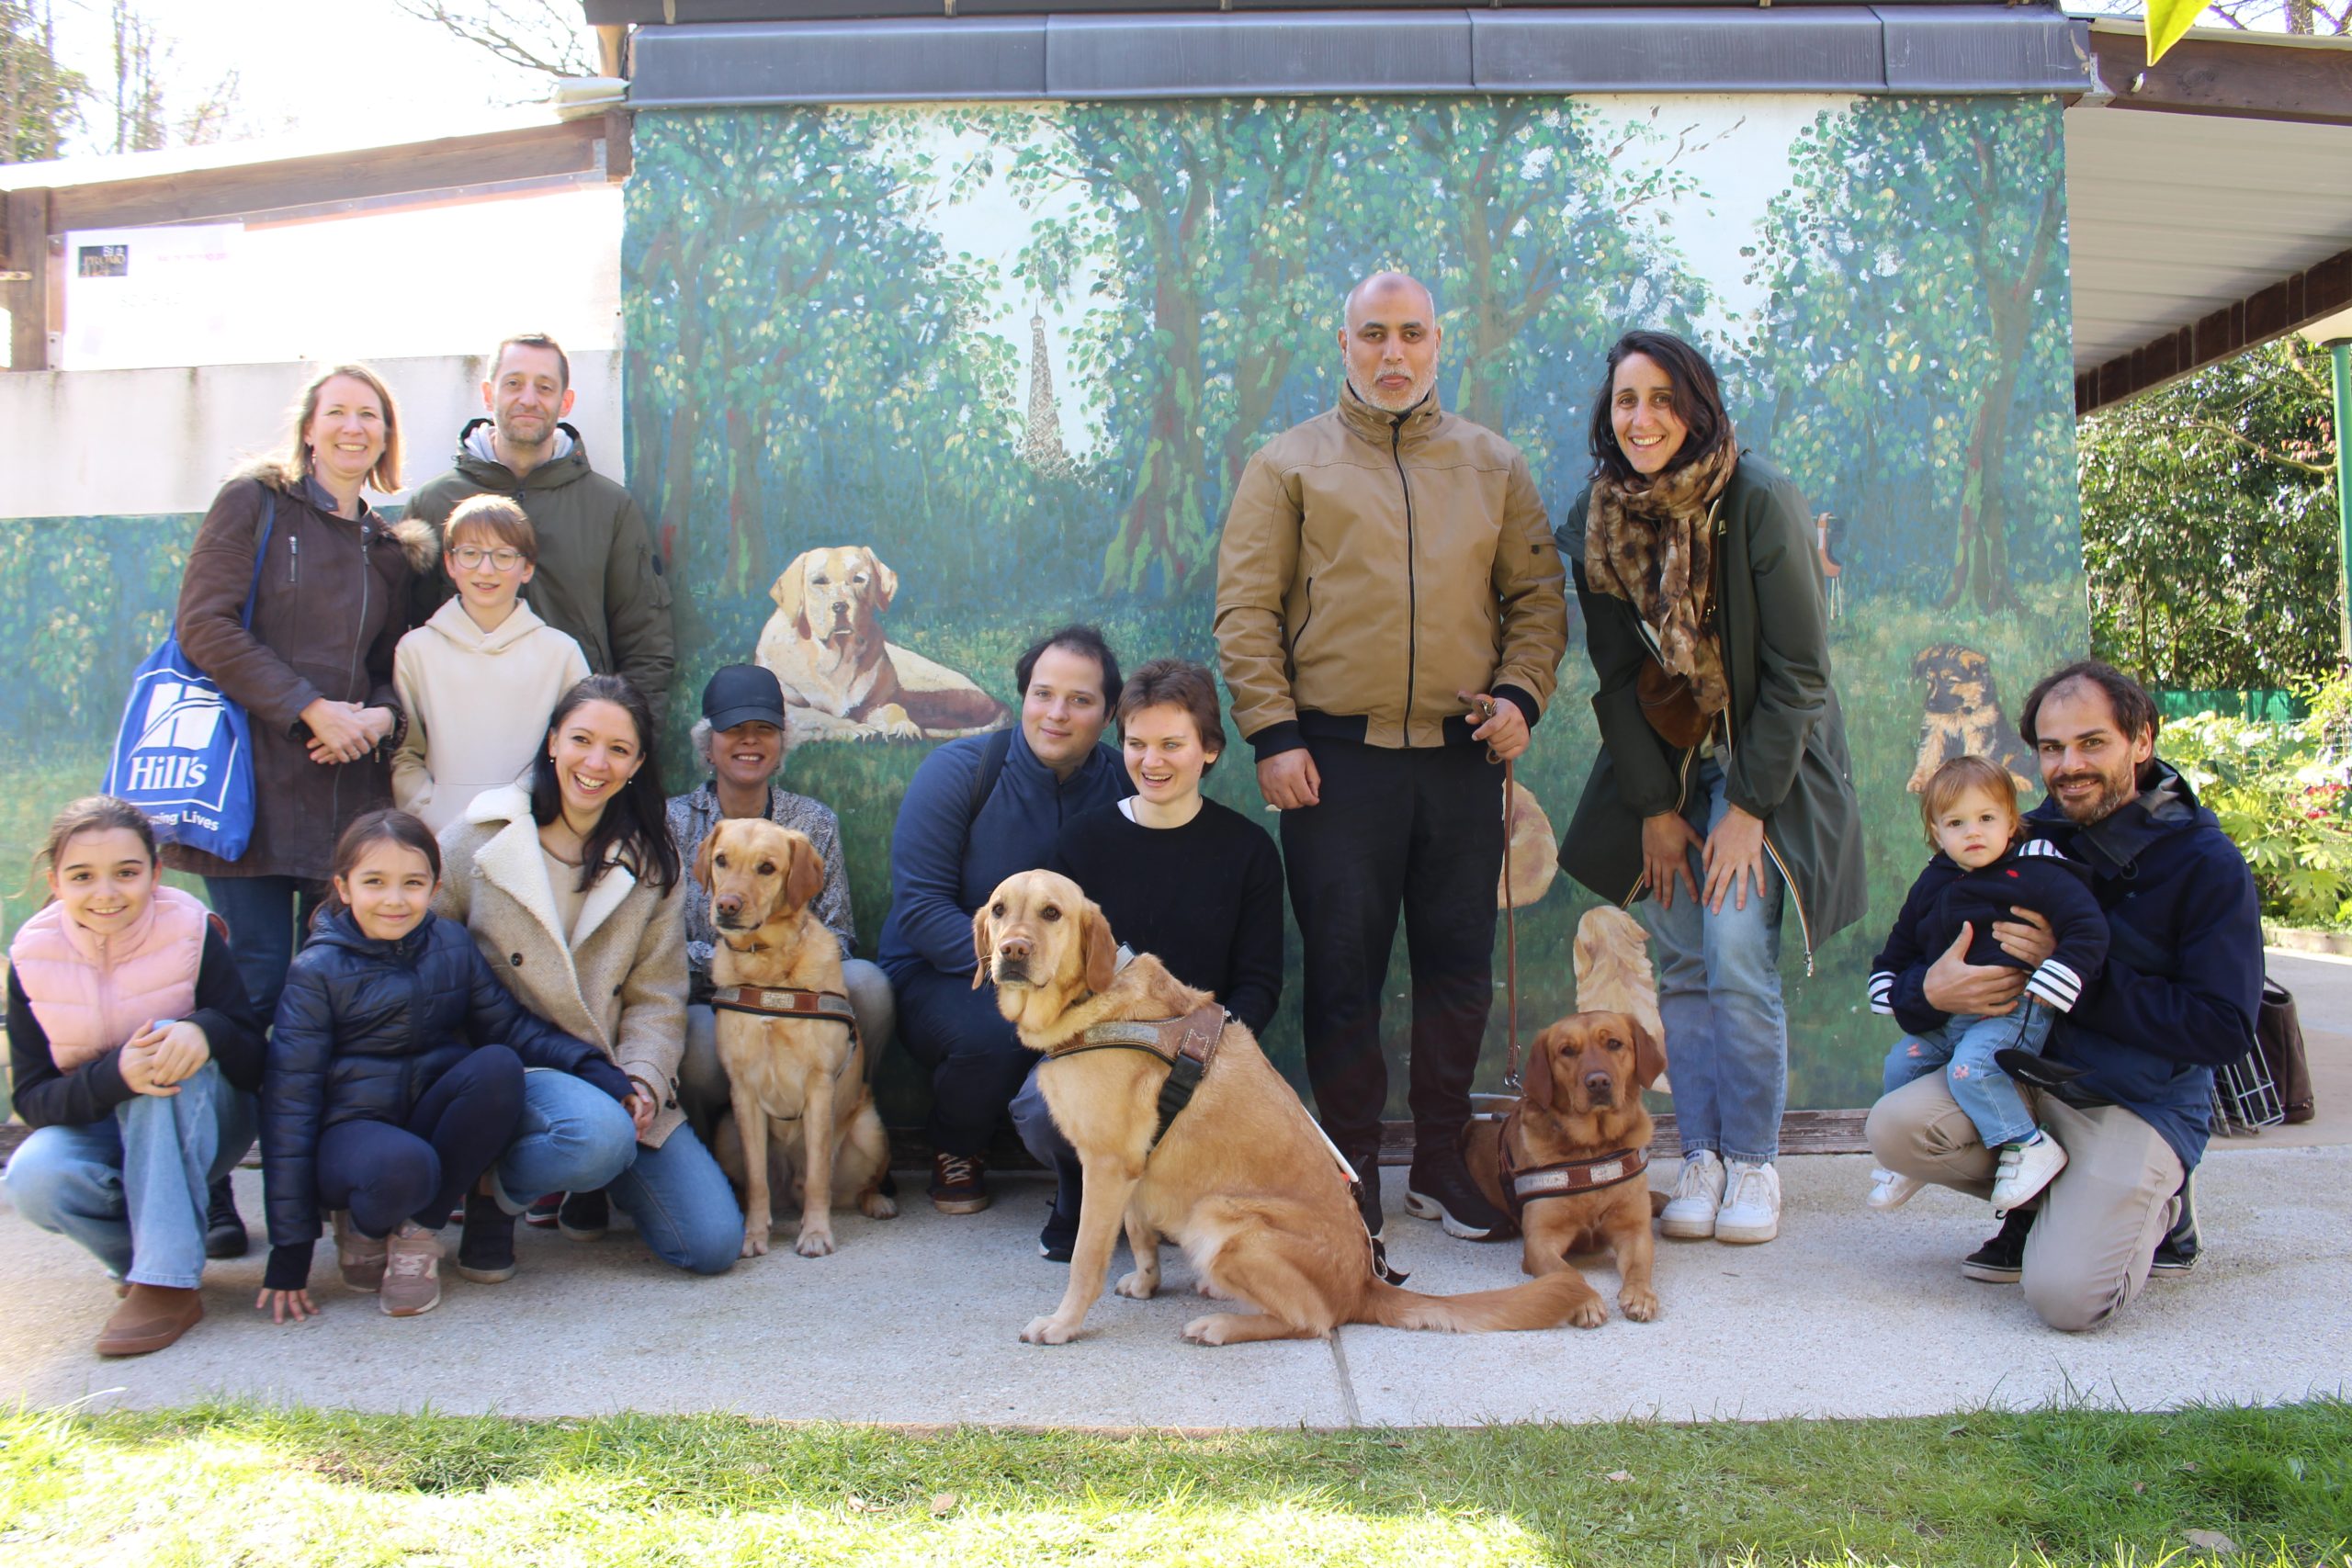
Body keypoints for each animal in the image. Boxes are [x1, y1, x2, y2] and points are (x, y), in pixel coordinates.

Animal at [692, 818, 896, 1257]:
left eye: (767, 868)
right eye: (721, 860)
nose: (727, 905)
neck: (767, 966)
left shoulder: (819, 1087)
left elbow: (819, 1174)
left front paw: (816, 1233)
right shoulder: (744, 1092)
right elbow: (756, 1180)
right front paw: (752, 1235)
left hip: (870, 1129)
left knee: (848, 1186)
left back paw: (877, 1201)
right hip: (726, 1134)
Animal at [754, 545, 1010, 743]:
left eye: (859, 579)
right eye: (819, 582)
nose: (840, 606)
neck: (836, 656)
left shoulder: (878, 703)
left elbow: (895, 709)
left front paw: (903, 727)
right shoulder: (789, 707)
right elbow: (819, 715)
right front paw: (854, 729)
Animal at [977, 869, 1596, 1346]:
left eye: (1052, 913)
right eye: (1000, 909)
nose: (1012, 951)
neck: (1091, 1001)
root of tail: (1365, 1283)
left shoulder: (1106, 1166)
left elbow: (1087, 1260)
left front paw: (1062, 1326)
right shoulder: (1128, 1166)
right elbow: (1138, 1232)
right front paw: (1147, 1283)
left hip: (1220, 1220)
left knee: (1315, 1321)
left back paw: (1221, 1325)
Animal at [1462, 1011, 1667, 1325]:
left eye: (1614, 1043)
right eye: (1567, 1051)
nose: (1598, 1082)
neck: (1592, 1149)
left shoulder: (1633, 1230)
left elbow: (1639, 1266)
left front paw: (1640, 1295)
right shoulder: (1540, 1240)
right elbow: (1566, 1272)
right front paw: (1583, 1300)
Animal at [1906, 643, 2035, 794]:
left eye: (1950, 683)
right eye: (1929, 680)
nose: (1929, 705)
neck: (1959, 711)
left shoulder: (1979, 729)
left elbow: (1974, 755)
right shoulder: (1934, 729)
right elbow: (1928, 755)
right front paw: (1918, 781)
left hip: (2012, 744)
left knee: (2013, 764)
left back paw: (2020, 782)